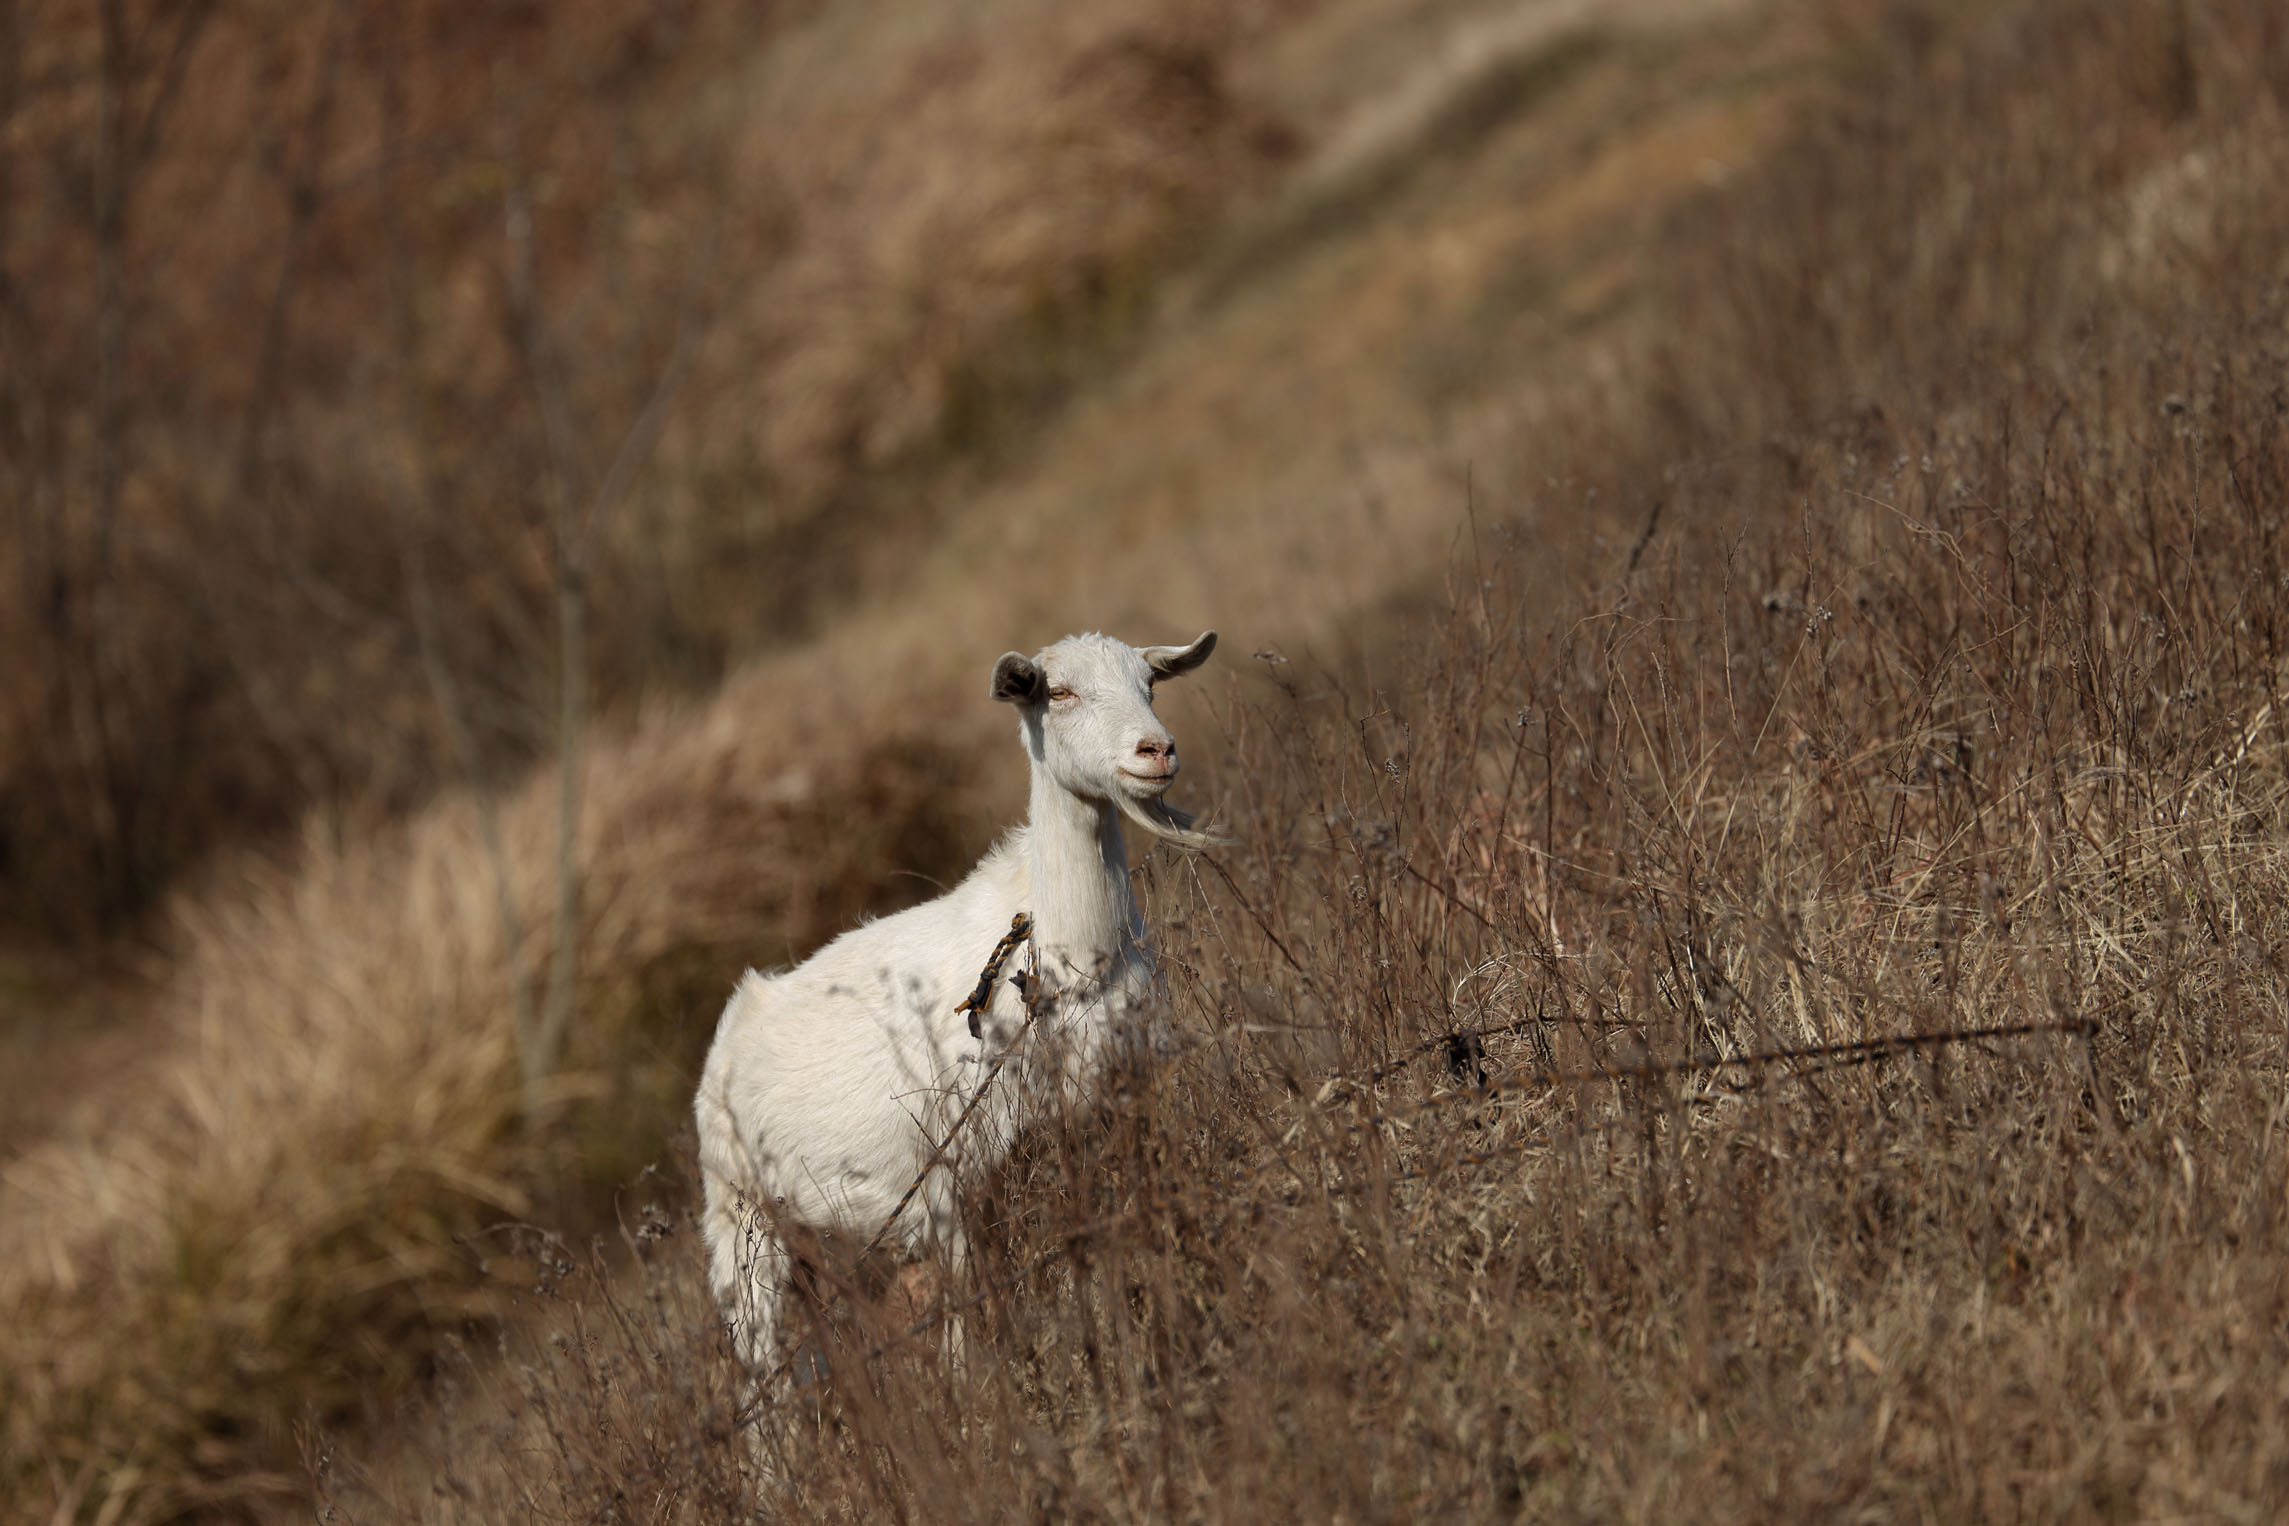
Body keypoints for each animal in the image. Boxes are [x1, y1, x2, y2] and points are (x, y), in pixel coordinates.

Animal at [695, 626, 1226, 1363]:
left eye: (1150, 685)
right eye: (1058, 692)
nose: (1156, 751)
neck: (1069, 962)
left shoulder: (1116, 1108)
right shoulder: (953, 1185)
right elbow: (970, 1325)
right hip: (743, 1224)